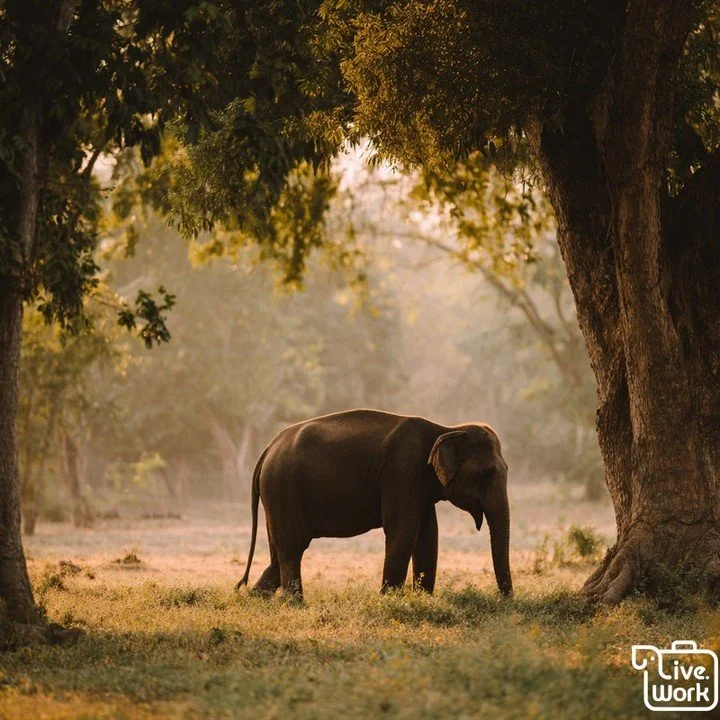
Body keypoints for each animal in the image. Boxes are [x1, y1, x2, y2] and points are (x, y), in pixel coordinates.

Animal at [236, 409, 512, 598]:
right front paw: (389, 601)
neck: (445, 428)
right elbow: (403, 531)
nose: (504, 600)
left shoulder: (419, 486)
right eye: (487, 474)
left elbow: (427, 536)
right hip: (283, 488)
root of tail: (268, 449)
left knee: (279, 552)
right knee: (293, 547)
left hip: (277, 494)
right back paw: (295, 604)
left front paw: (422, 599)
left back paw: (254, 600)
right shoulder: (402, 473)